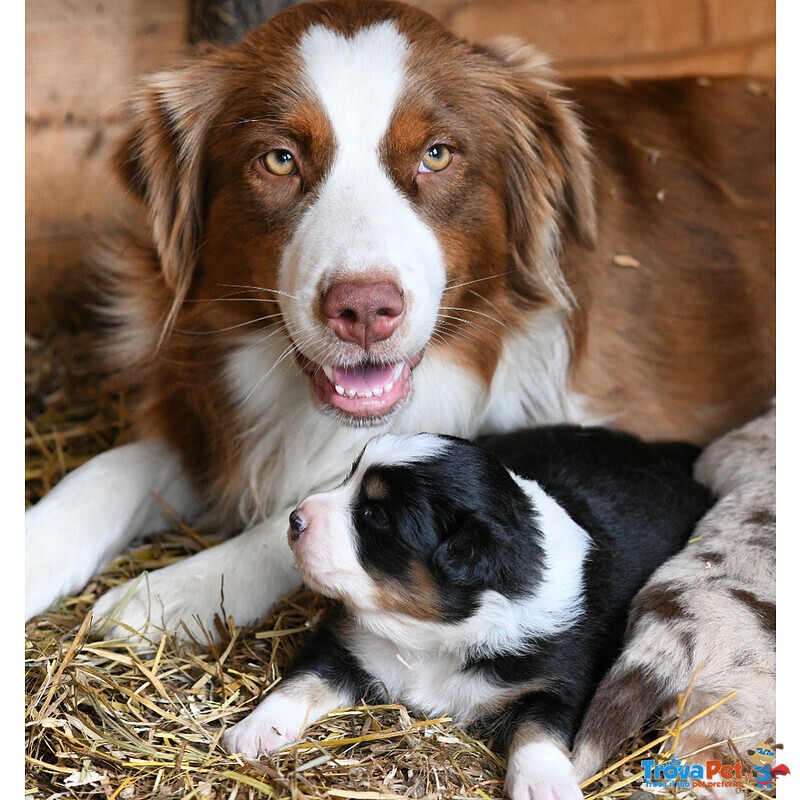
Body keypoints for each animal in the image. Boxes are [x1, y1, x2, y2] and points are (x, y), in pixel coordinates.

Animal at [26, 0, 776, 664]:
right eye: (278, 159)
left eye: (437, 155)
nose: (363, 308)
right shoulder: (208, 408)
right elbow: (105, 471)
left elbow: (305, 517)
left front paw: (171, 591)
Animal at [223, 428, 712, 796]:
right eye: (349, 478)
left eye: (374, 515)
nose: (295, 518)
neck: (432, 634)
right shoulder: (346, 640)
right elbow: (303, 679)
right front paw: (254, 729)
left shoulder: (562, 681)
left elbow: (540, 729)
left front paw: (544, 785)